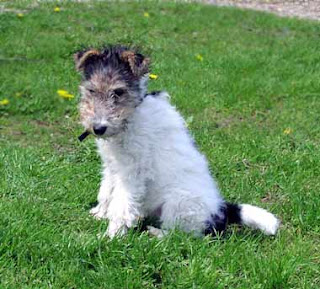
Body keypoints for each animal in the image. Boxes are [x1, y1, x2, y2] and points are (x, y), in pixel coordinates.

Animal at [75, 45, 280, 237]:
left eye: (118, 92)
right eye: (91, 90)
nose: (98, 128)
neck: (132, 114)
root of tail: (220, 212)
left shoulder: (132, 171)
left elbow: (122, 205)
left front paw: (111, 236)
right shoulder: (111, 166)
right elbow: (106, 192)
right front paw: (100, 214)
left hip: (178, 203)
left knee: (181, 235)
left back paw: (154, 233)